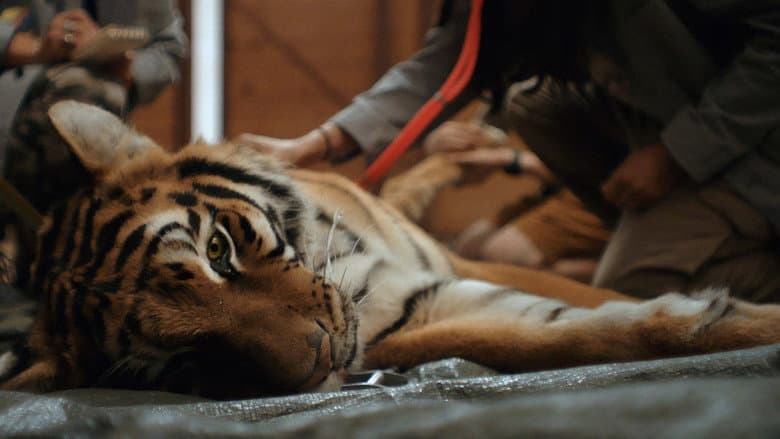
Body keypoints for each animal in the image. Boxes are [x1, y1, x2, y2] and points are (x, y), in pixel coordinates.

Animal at [1, 101, 780, 399]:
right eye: (186, 362)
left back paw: (479, 141)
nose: (319, 359)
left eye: (217, 250)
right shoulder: (417, 319)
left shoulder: (457, 264)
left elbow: (597, 301)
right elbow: (556, 337)